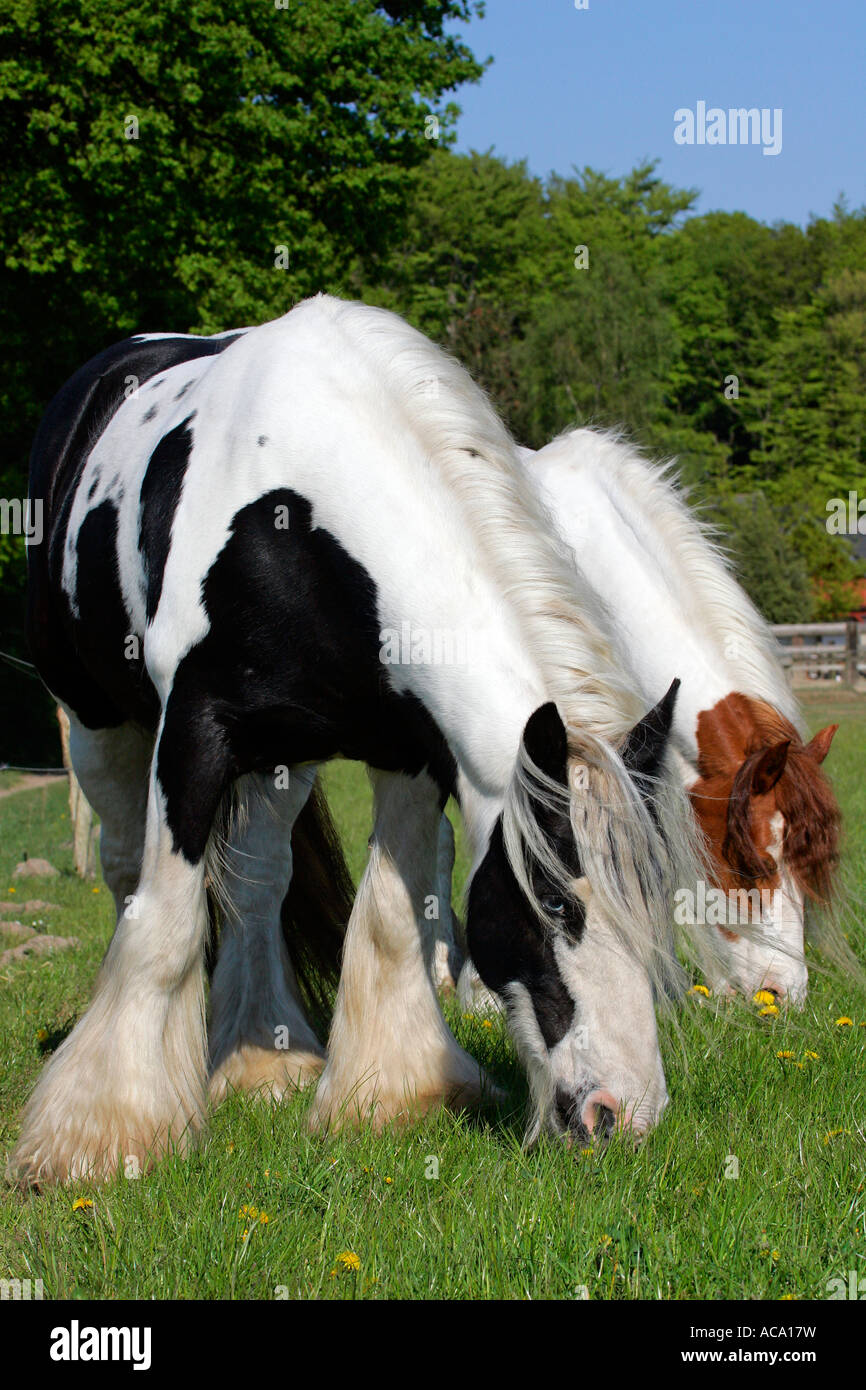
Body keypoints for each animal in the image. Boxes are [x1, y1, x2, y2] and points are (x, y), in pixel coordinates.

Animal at [11, 296, 706, 1184]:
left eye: (654, 896)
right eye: (554, 900)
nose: (622, 1114)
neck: (299, 523)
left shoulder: (405, 750)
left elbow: (386, 917)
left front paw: (393, 1095)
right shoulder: (195, 730)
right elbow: (164, 924)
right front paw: (100, 1132)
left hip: (281, 761)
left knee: (258, 884)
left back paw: (262, 1059)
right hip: (98, 721)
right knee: (129, 869)